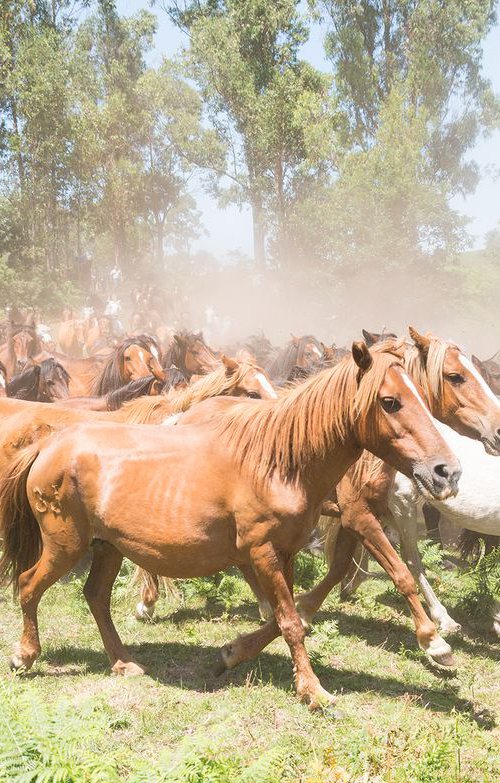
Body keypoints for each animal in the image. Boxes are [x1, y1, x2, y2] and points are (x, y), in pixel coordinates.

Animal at [0, 344, 460, 712]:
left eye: (421, 396)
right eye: (389, 401)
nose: (447, 472)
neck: (277, 462)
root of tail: (49, 445)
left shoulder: (285, 552)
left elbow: (287, 615)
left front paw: (233, 652)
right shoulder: (263, 552)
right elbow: (290, 621)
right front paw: (314, 691)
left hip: (108, 546)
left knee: (95, 596)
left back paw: (122, 661)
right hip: (65, 544)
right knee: (28, 585)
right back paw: (25, 656)